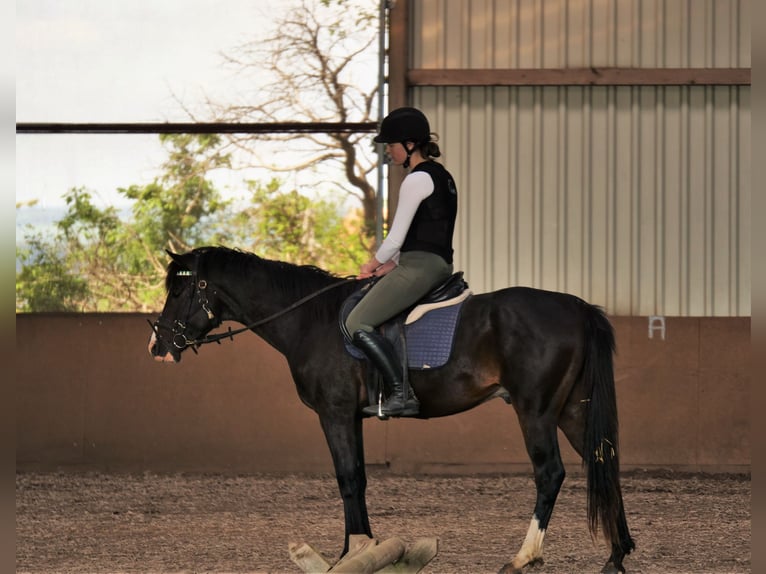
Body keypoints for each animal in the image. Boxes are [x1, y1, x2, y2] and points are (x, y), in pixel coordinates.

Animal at [148, 245, 636, 572]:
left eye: (181, 290)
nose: (158, 346)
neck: (312, 320)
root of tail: (578, 307)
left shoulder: (335, 414)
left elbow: (348, 479)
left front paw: (349, 553)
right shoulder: (352, 417)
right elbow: (359, 480)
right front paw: (364, 549)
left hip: (536, 412)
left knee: (550, 473)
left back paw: (523, 558)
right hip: (571, 411)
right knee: (604, 462)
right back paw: (617, 554)